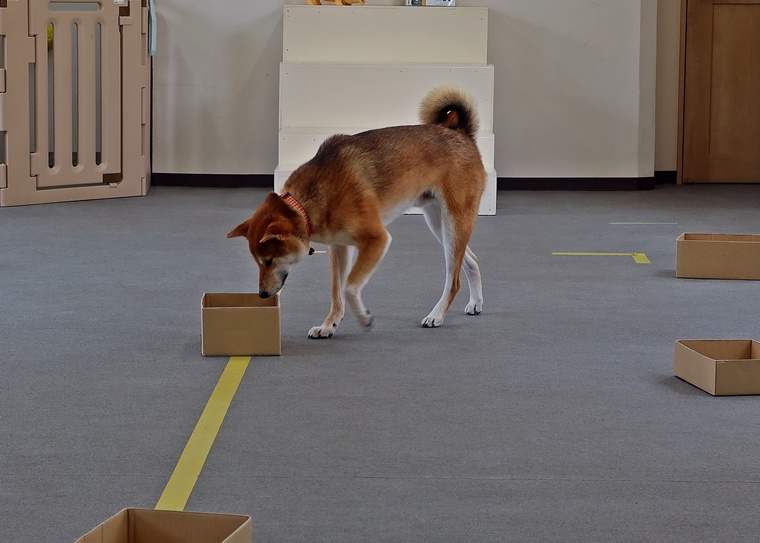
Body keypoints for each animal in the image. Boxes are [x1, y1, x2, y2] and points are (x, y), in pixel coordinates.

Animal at [227, 86, 486, 338]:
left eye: (269, 260)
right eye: (258, 262)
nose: (261, 295)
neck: (308, 203)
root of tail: (461, 133)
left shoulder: (376, 240)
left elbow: (349, 287)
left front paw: (363, 318)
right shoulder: (340, 247)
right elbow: (336, 290)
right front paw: (329, 324)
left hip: (453, 223)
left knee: (454, 280)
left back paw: (437, 315)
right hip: (439, 224)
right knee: (471, 261)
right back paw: (475, 302)